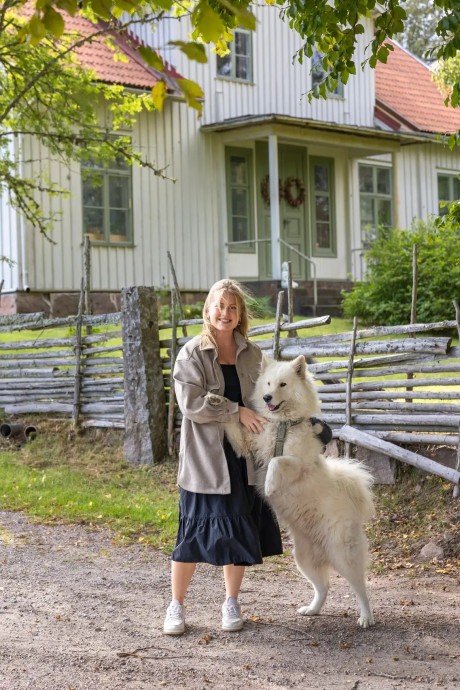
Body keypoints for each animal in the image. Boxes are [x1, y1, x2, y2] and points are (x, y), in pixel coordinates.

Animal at [207, 354, 376, 628]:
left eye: (283, 385)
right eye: (267, 383)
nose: (267, 398)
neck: (282, 425)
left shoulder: (298, 464)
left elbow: (277, 461)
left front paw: (269, 485)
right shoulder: (246, 446)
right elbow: (232, 421)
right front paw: (217, 400)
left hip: (343, 555)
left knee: (360, 587)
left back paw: (366, 617)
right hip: (303, 559)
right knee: (324, 587)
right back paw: (312, 610)